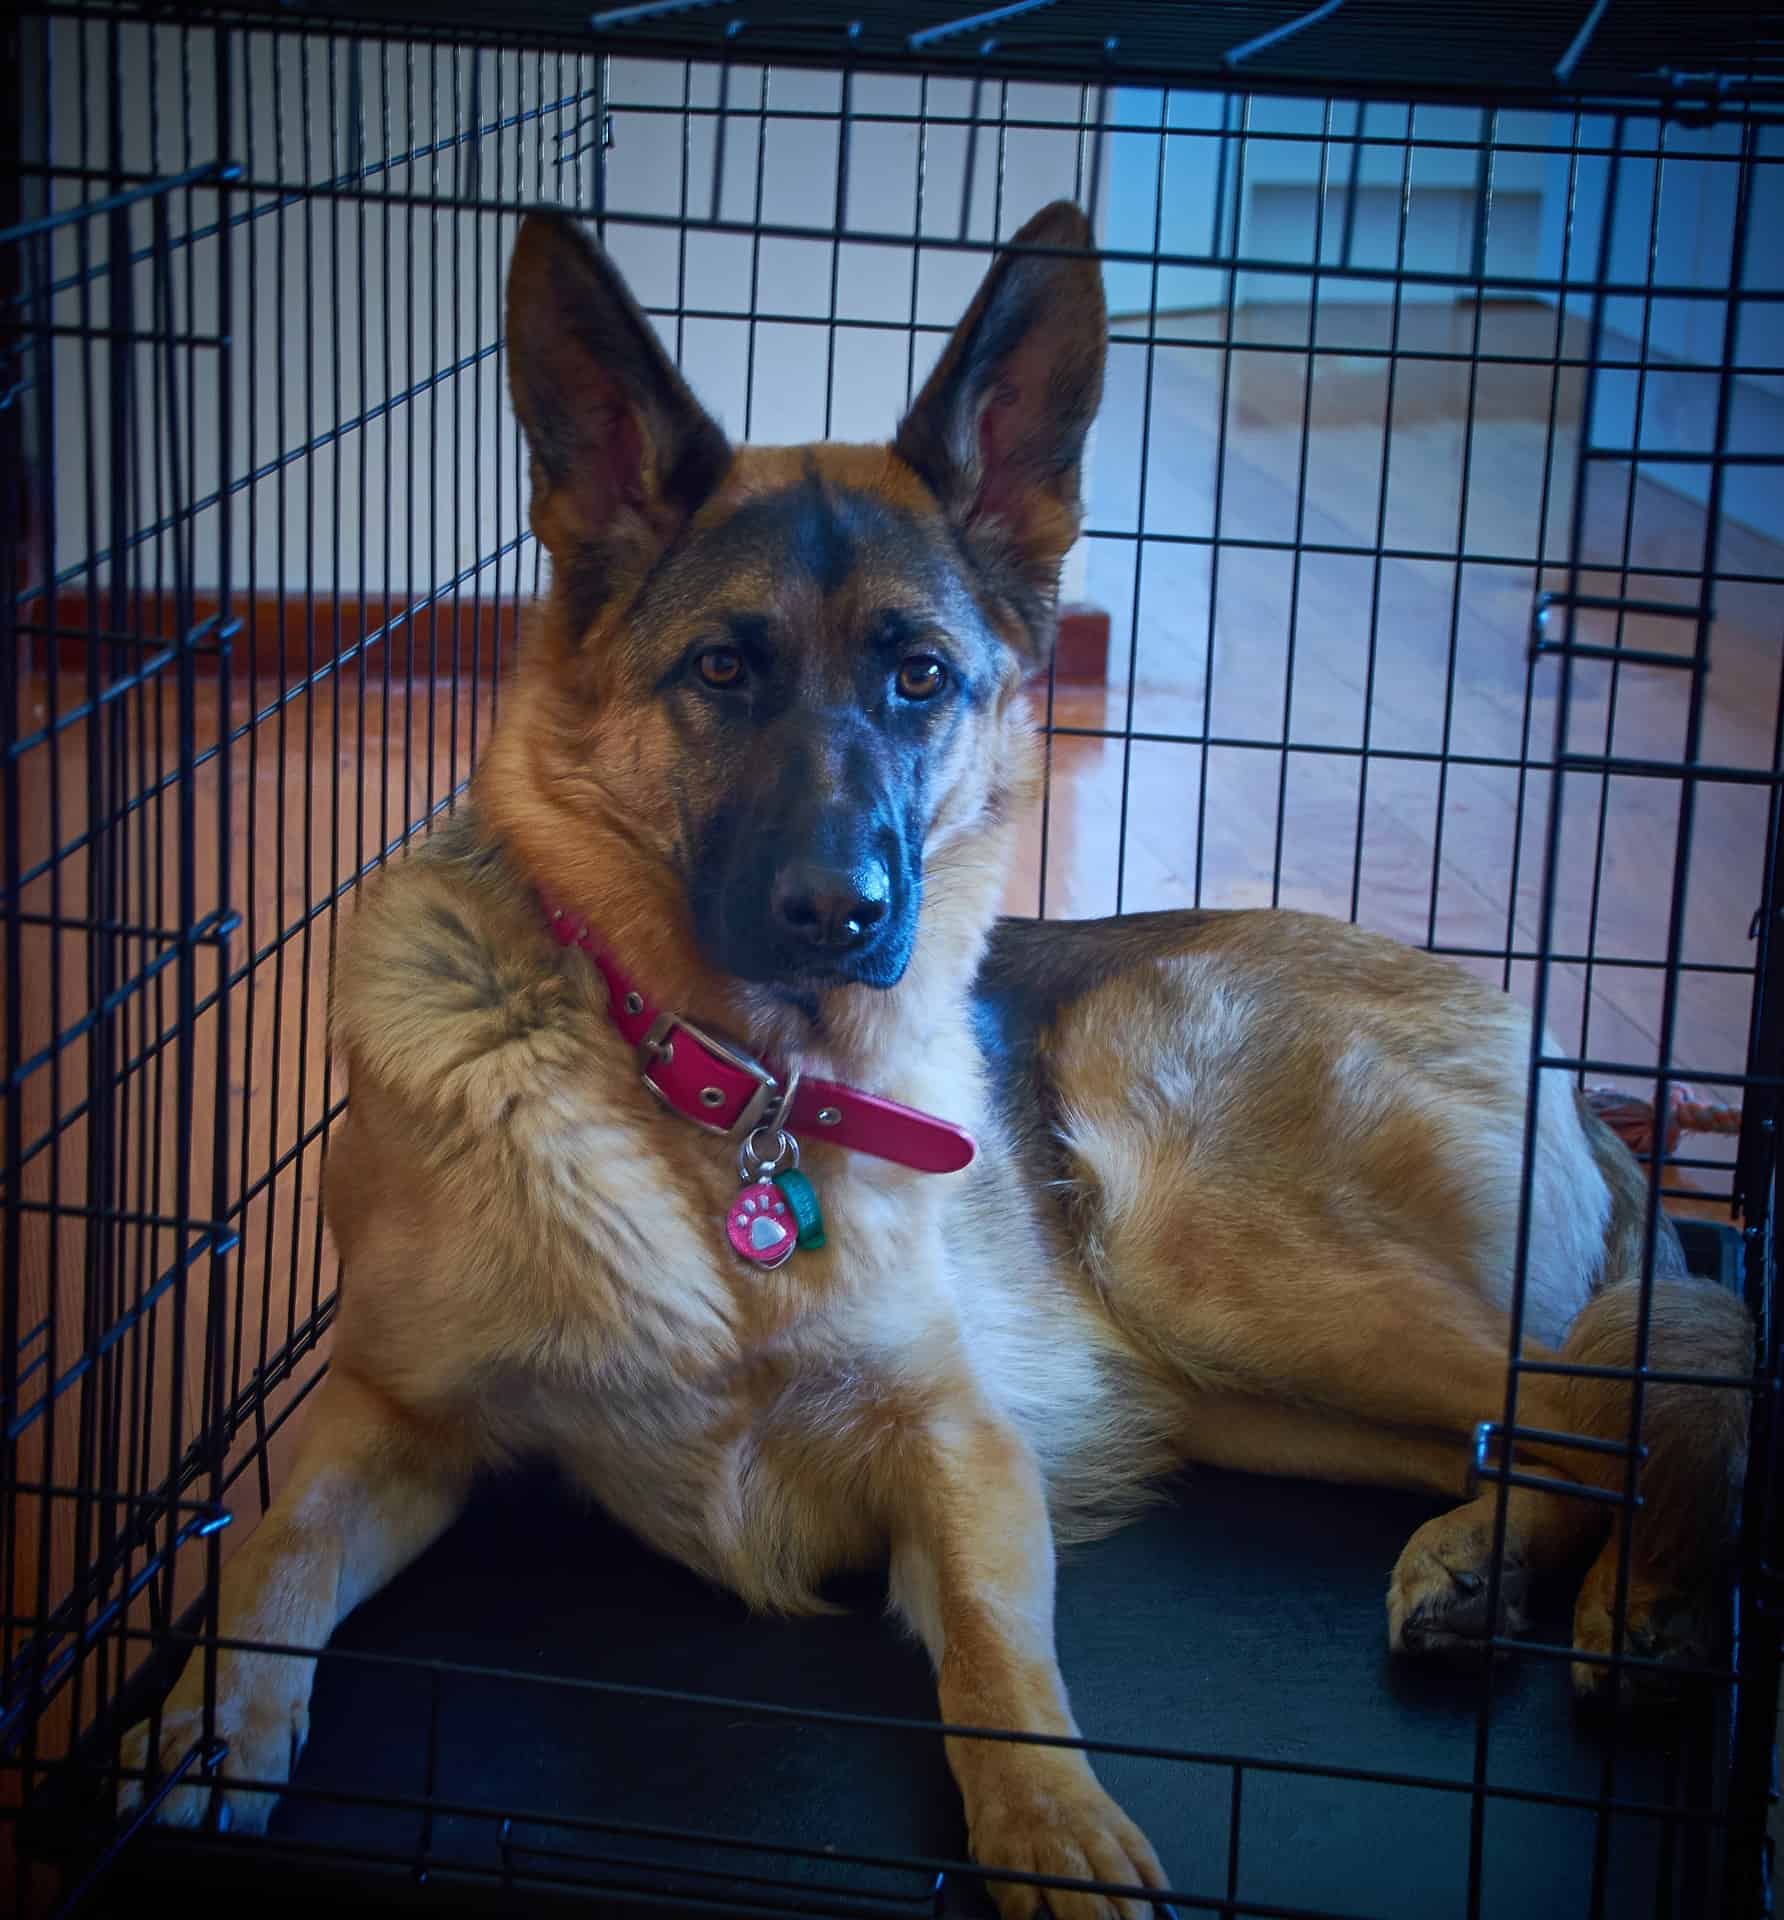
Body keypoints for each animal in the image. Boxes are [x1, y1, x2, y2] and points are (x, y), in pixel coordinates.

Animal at [124, 202, 1751, 1912]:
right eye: (721, 671)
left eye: (921, 679)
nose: (841, 915)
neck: (730, 1092)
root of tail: (1560, 1050)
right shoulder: (390, 1414)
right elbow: (272, 1555)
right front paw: (210, 1723)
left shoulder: (959, 1447)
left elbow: (995, 1660)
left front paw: (1054, 1825)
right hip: (1260, 1388)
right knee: (1561, 1415)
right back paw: (1495, 1569)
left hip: (1214, 1247)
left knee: (1655, 1380)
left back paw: (1638, 1600)